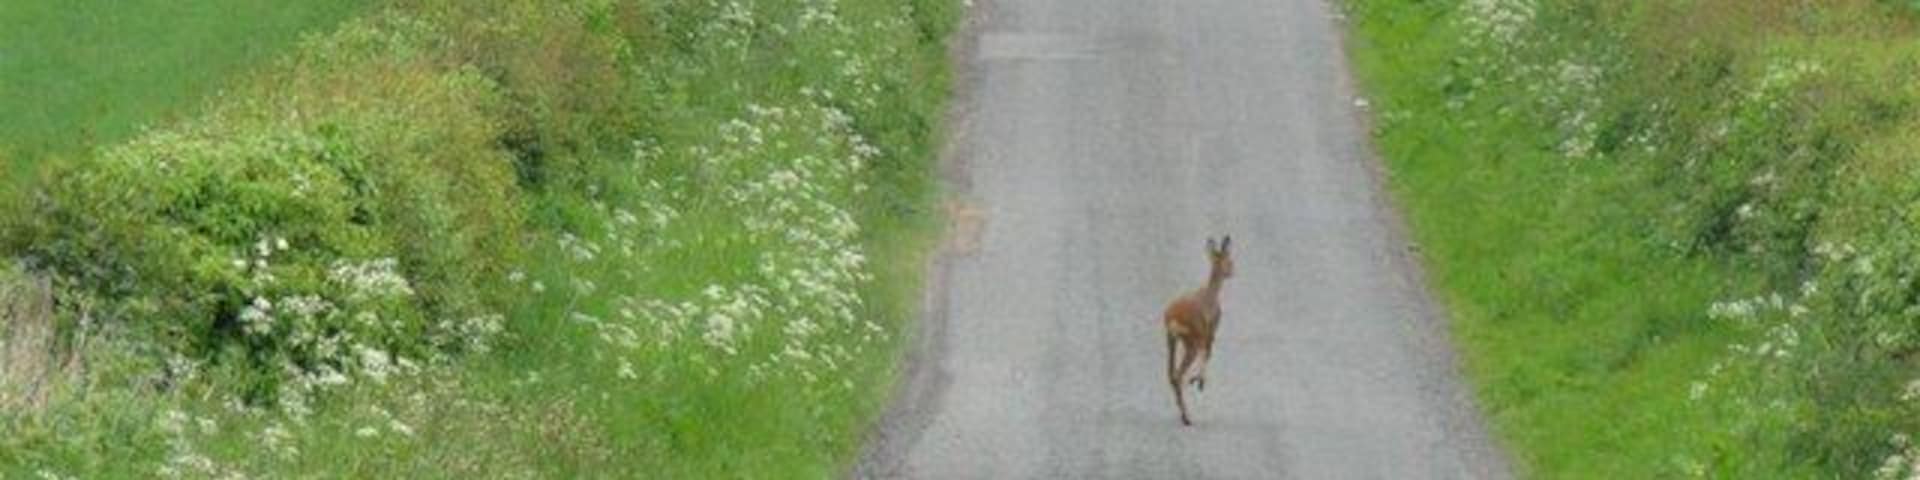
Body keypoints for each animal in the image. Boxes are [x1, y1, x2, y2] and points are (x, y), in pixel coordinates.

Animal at [1164, 235, 1232, 426]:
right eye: (1229, 261)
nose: (1232, 271)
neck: (1211, 294)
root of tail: (1173, 317)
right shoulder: (1210, 329)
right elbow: (1208, 353)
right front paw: (1199, 381)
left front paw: (1198, 380)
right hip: (1190, 340)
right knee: (1179, 374)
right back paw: (1187, 417)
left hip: (1171, 340)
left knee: (1171, 374)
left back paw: (1185, 415)